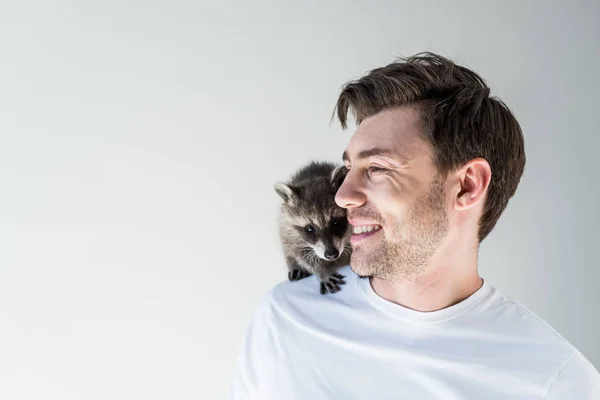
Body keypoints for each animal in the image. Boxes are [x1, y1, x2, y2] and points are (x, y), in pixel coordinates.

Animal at [274, 159, 352, 294]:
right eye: (309, 229)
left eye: (335, 222)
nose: (331, 254)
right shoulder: (291, 230)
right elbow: (303, 255)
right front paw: (322, 271)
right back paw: (293, 264)